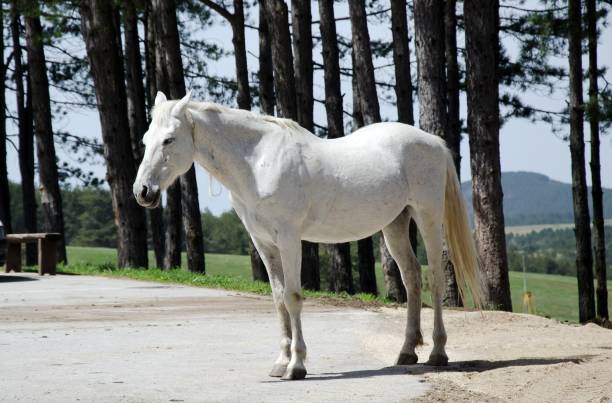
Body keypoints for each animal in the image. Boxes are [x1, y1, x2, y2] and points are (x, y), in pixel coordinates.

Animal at [134, 92, 482, 382]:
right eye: (146, 139)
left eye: (169, 139)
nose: (143, 192)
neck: (258, 162)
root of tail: (433, 141)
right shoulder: (264, 243)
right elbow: (278, 300)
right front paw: (279, 363)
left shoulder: (289, 239)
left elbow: (293, 297)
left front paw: (297, 366)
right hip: (395, 225)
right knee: (412, 279)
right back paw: (407, 352)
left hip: (428, 218)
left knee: (435, 279)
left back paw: (437, 353)